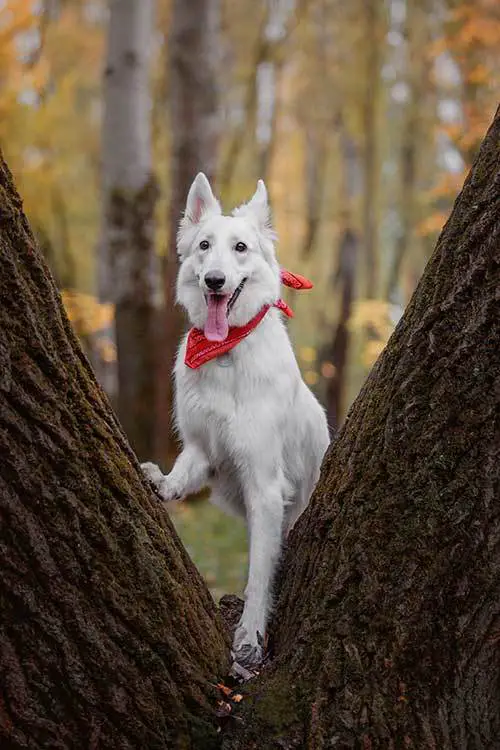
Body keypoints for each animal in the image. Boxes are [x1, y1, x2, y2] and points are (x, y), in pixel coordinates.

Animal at [142, 173, 328, 668]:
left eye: (240, 247)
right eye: (204, 246)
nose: (214, 280)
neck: (225, 353)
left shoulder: (264, 486)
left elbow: (259, 573)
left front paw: (250, 634)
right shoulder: (203, 448)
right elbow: (184, 472)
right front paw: (163, 482)